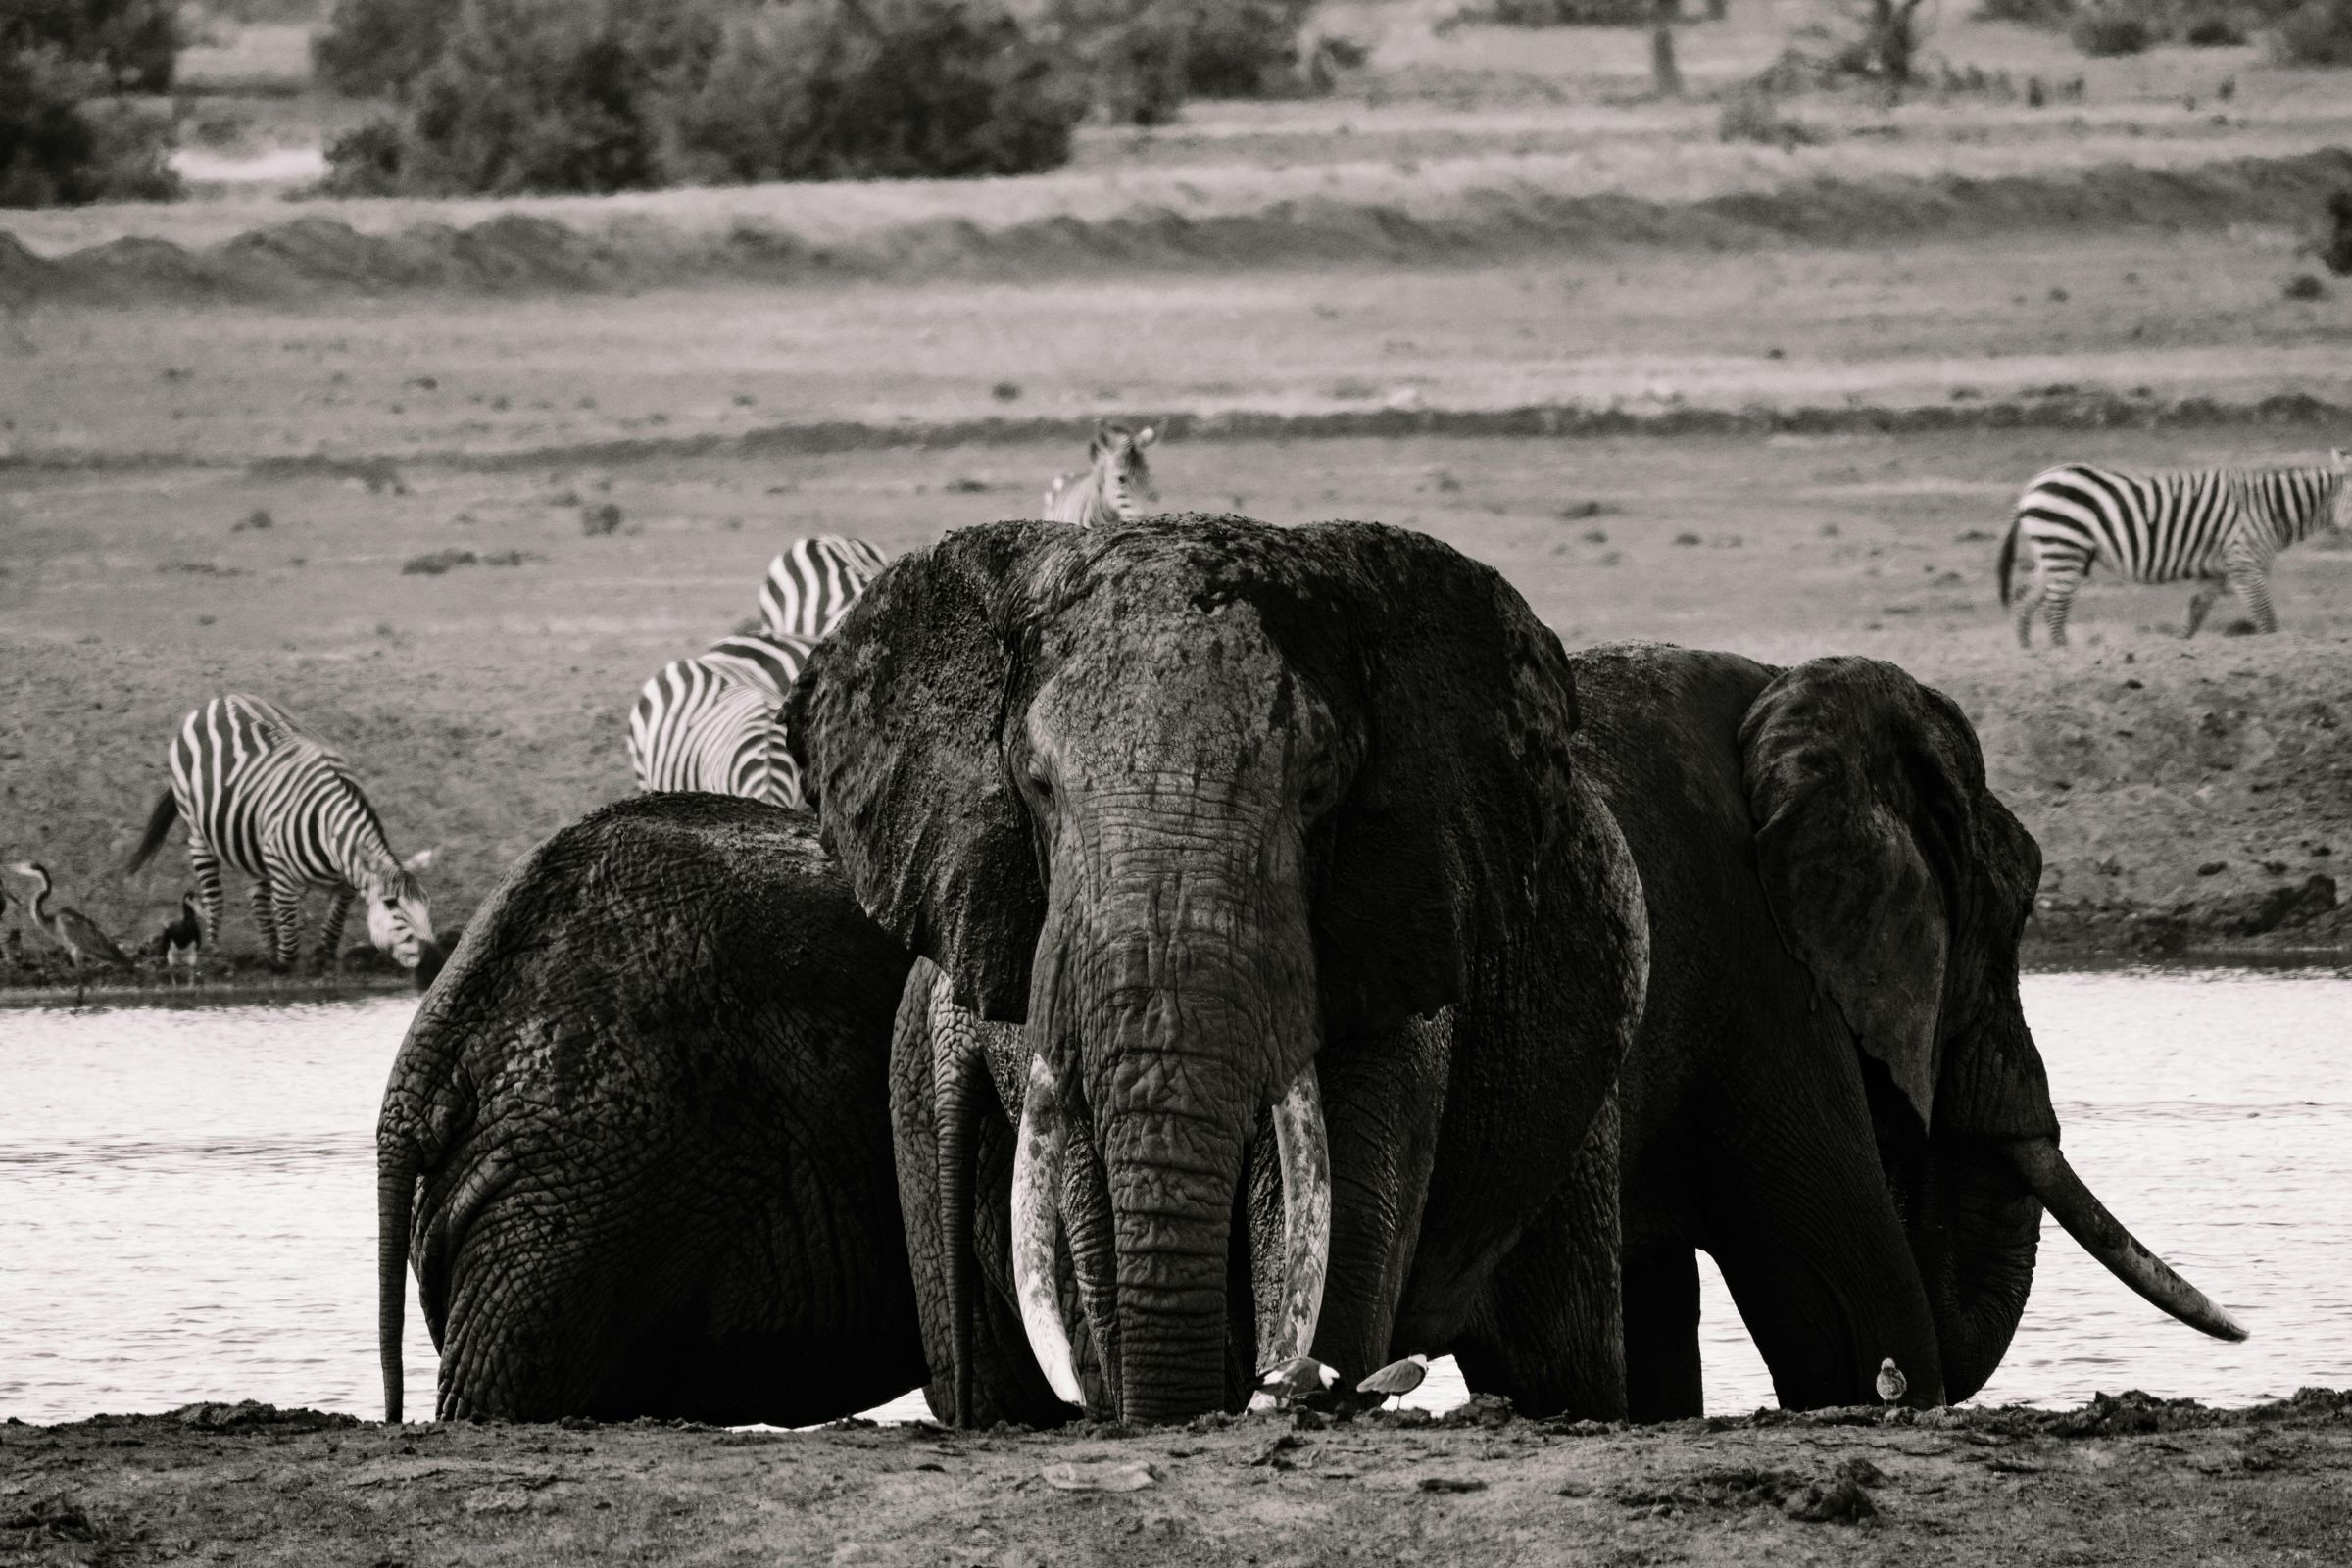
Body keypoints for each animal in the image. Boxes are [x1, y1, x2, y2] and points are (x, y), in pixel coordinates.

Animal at [787, 514, 1650, 1426]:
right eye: (1039, 786)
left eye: (1316, 788)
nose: (1275, 1386)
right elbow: (1096, 1211)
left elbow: (1333, 1214)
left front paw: (1298, 1382)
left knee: (1564, 1354)